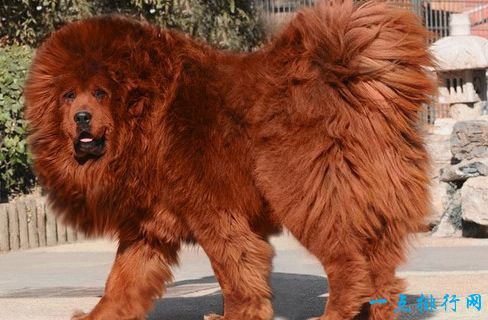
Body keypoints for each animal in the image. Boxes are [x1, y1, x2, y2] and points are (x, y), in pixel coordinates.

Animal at [23, 1, 434, 318]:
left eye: (100, 93)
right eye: (68, 96)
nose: (81, 117)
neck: (146, 118)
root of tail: (349, 81)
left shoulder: (215, 215)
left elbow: (234, 272)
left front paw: (236, 315)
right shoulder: (147, 229)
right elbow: (121, 282)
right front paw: (100, 315)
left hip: (307, 196)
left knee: (350, 267)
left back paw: (333, 314)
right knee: (382, 276)